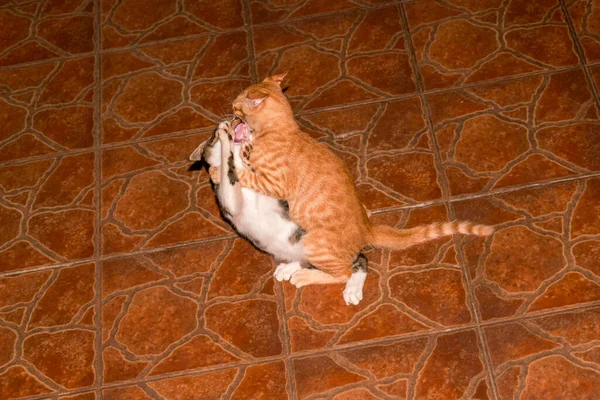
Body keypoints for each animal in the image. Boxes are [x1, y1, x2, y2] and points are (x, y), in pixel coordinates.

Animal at [231, 74, 492, 288]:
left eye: (236, 106)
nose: (231, 112)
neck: (282, 129)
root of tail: (367, 228)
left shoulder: (274, 183)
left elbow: (248, 174)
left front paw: (233, 164)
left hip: (314, 242)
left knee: (343, 273)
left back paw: (305, 276)